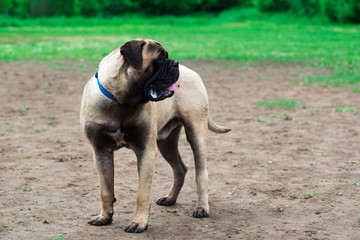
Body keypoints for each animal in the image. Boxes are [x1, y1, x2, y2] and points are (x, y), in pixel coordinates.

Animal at [79, 39, 231, 232]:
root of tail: (193, 73)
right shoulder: (101, 150)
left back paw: (202, 207)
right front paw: (104, 217)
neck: (122, 102)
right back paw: (170, 198)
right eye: (159, 59)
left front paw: (139, 223)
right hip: (166, 143)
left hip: (196, 131)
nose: (175, 63)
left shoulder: (145, 151)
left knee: (201, 172)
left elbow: (142, 193)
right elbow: (105, 189)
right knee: (180, 168)